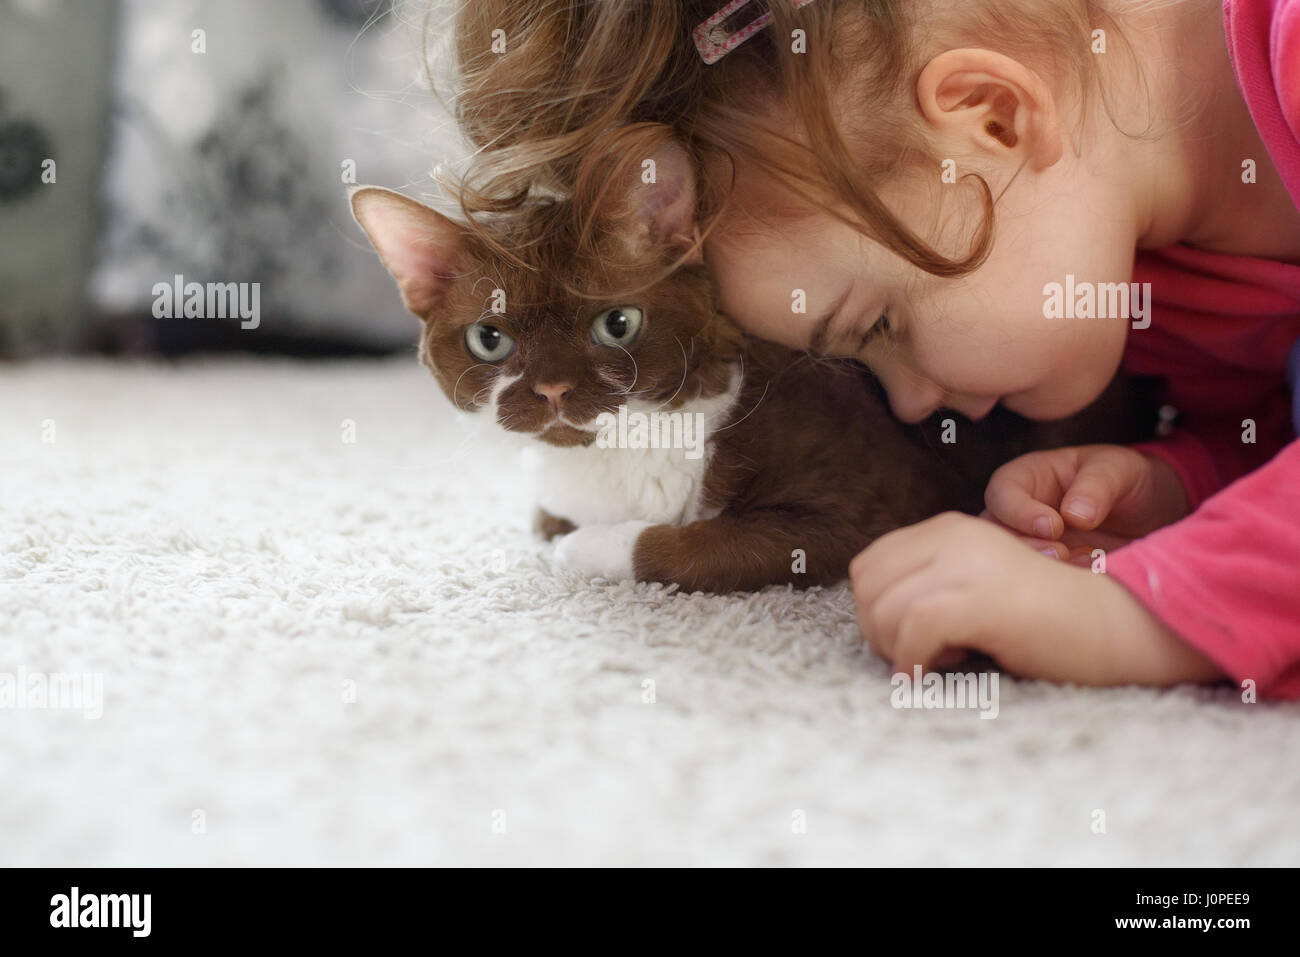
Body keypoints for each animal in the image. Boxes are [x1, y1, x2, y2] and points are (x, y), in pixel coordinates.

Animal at [348, 143, 1159, 590]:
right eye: (490, 339)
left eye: (617, 324)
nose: (549, 387)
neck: (618, 458)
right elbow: (549, 511)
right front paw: (565, 523)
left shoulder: (864, 507)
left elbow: (691, 544)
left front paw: (587, 547)